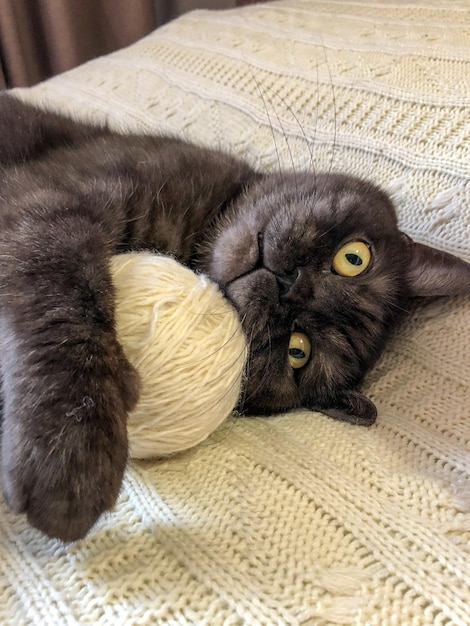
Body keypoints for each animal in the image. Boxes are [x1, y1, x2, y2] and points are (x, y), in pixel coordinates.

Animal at [0, 94, 470, 540]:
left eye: (297, 351)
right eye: (353, 258)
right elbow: (62, 299)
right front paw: (71, 453)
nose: (290, 287)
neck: (195, 235)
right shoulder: (51, 200)